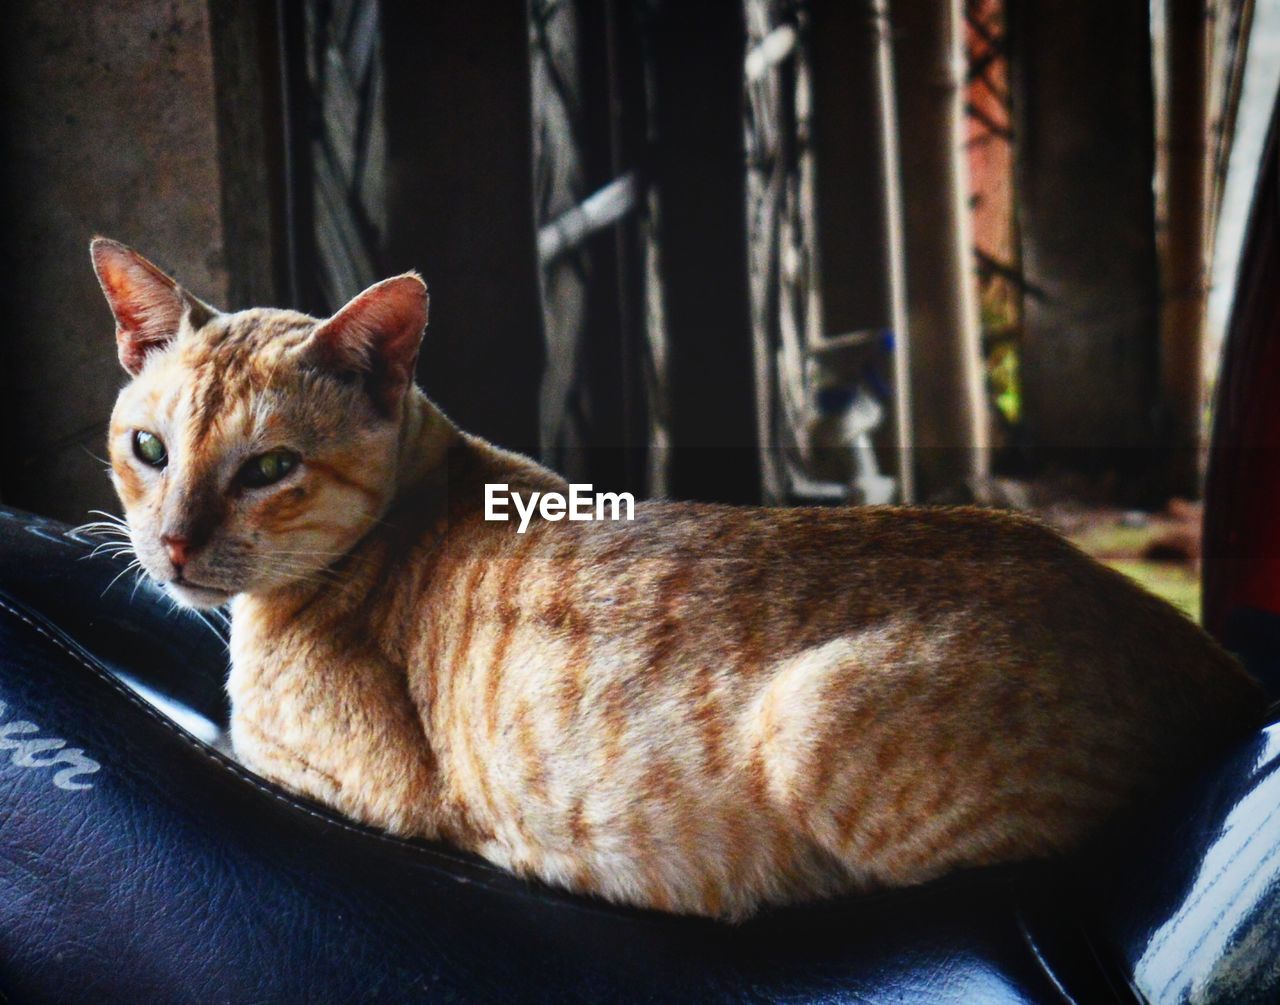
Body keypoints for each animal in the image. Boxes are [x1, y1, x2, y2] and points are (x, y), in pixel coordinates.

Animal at [92, 236, 1269, 916]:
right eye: (149, 450)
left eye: (269, 469)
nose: (174, 547)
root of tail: (1205, 658)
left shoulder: (345, 782)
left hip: (813, 719)